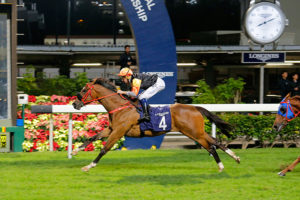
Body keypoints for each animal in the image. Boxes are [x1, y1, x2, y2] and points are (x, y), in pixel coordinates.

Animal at [71, 78, 240, 172]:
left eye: (84, 90)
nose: (74, 104)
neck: (120, 107)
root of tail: (195, 107)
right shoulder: (111, 129)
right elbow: (92, 138)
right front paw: (75, 151)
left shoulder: (118, 131)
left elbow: (104, 149)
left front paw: (89, 166)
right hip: (197, 132)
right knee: (216, 142)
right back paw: (235, 158)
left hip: (194, 133)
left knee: (211, 147)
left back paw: (221, 166)